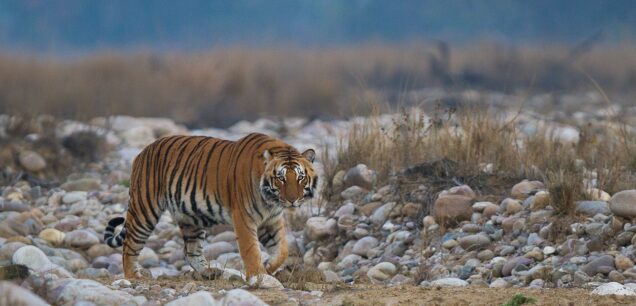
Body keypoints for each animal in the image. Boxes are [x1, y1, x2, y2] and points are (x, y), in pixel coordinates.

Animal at [103, 133, 318, 284]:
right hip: (144, 210)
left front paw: (268, 266)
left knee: (191, 250)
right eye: (281, 178)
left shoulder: (271, 220)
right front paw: (259, 276)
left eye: (300, 177)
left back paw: (208, 272)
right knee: (129, 245)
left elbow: (282, 250)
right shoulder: (244, 217)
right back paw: (133, 276)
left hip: (190, 217)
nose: (292, 200)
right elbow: (250, 249)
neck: (270, 200)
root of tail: (143, 151)